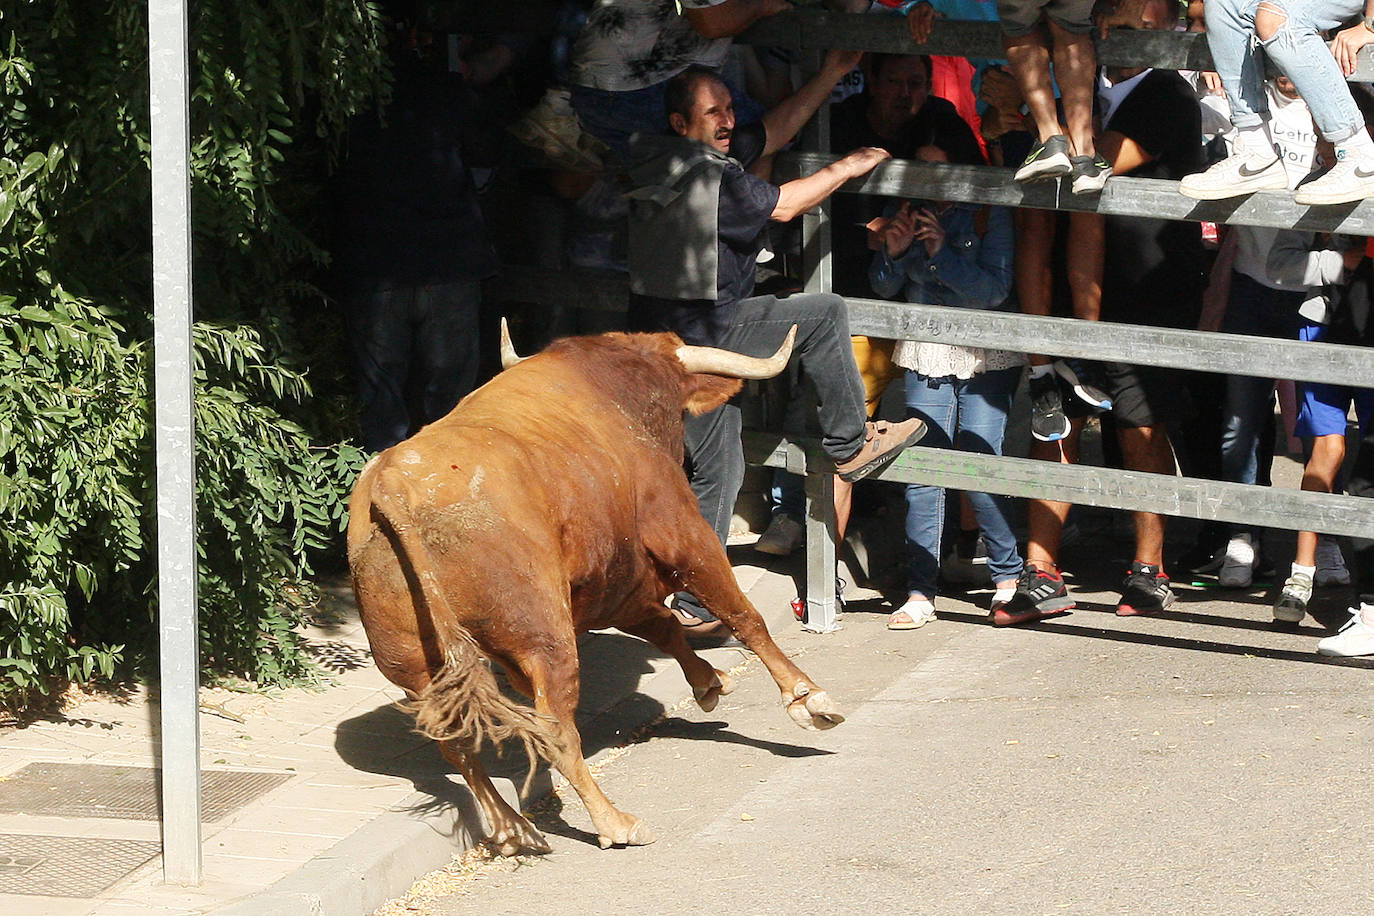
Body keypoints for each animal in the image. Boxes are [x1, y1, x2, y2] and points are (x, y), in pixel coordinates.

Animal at [346, 322, 835, 851]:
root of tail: (394, 481)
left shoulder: (619, 580)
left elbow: (665, 626)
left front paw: (709, 681)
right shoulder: (684, 535)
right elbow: (742, 614)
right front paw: (808, 698)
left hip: (417, 671)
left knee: (457, 747)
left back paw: (512, 827)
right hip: (546, 640)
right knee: (556, 731)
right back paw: (615, 822)